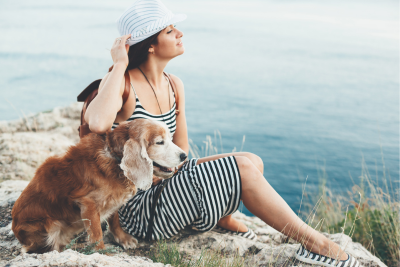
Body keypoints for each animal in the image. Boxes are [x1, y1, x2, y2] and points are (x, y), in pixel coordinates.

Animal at [11, 119, 187, 253]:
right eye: (160, 142)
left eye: (170, 138)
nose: (184, 155)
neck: (114, 158)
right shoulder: (88, 205)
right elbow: (96, 235)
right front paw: (102, 252)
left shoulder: (115, 200)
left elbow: (115, 220)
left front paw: (123, 238)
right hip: (51, 225)